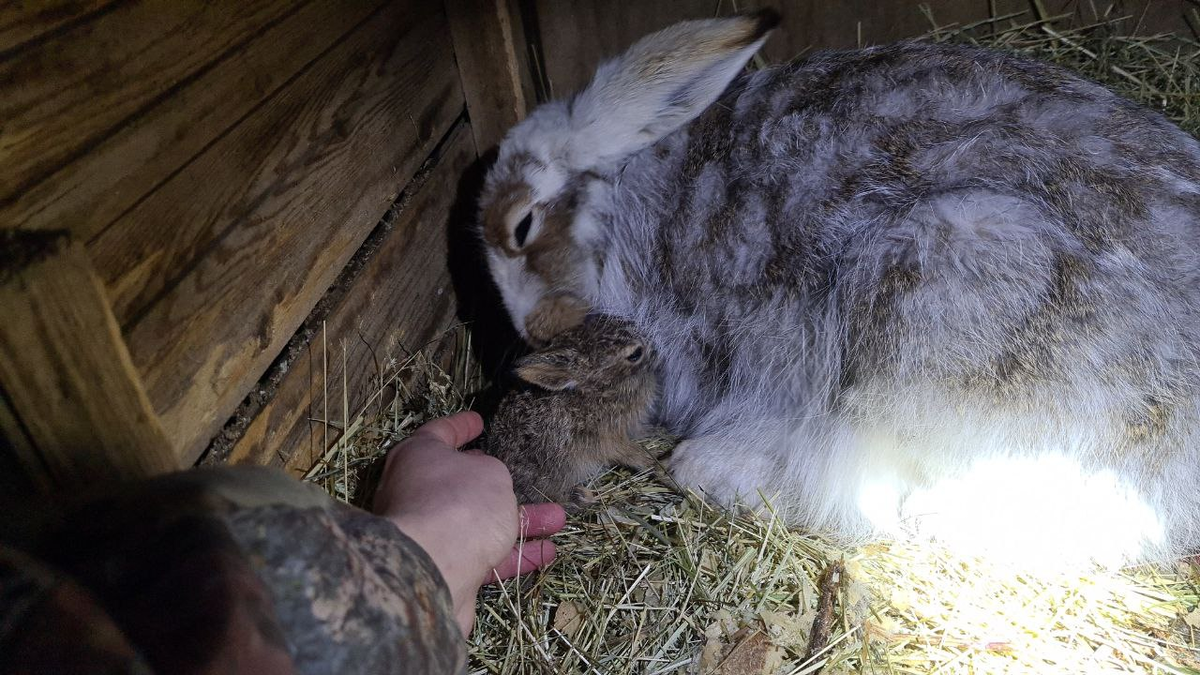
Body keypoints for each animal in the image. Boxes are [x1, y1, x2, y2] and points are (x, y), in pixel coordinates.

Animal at [472, 10, 1195, 564]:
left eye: (520, 225)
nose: (539, 332)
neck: (624, 201)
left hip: (927, 291)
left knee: (869, 497)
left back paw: (712, 464)